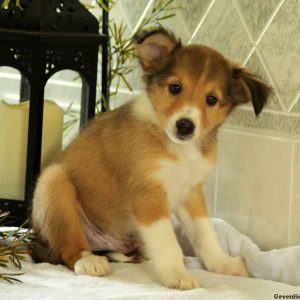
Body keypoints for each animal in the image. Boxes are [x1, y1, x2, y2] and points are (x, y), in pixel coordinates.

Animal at [31, 28, 272, 290]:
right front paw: (176, 274)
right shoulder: (148, 195)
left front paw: (223, 263)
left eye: (211, 99)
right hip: (53, 182)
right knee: (69, 246)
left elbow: (206, 234)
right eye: (175, 87)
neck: (178, 148)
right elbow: (167, 241)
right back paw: (88, 261)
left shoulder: (191, 193)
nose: (185, 126)